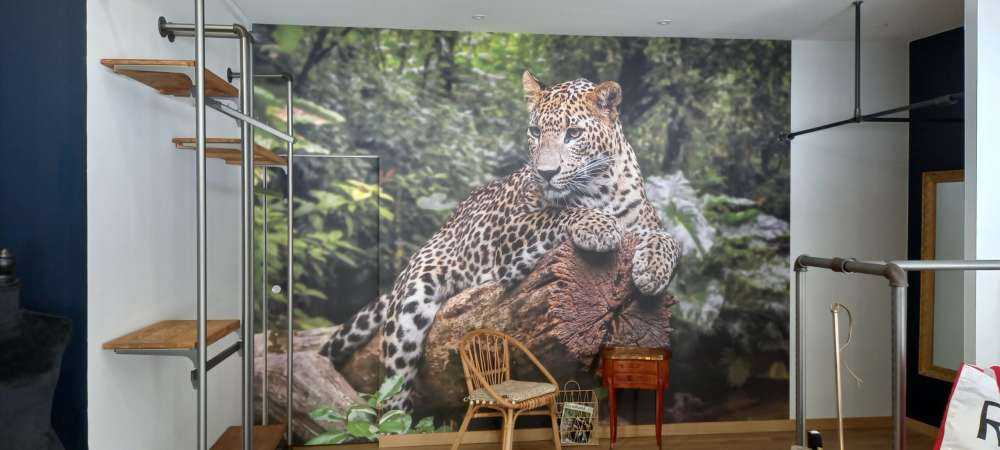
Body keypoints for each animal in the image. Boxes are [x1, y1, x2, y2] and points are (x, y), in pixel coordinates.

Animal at [322, 71, 682, 411]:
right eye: (535, 131)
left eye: (574, 134)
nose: (545, 172)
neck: (601, 188)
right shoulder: (512, 234)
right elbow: (560, 214)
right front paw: (599, 226)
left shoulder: (648, 222)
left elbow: (669, 240)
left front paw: (653, 270)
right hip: (412, 300)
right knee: (392, 389)